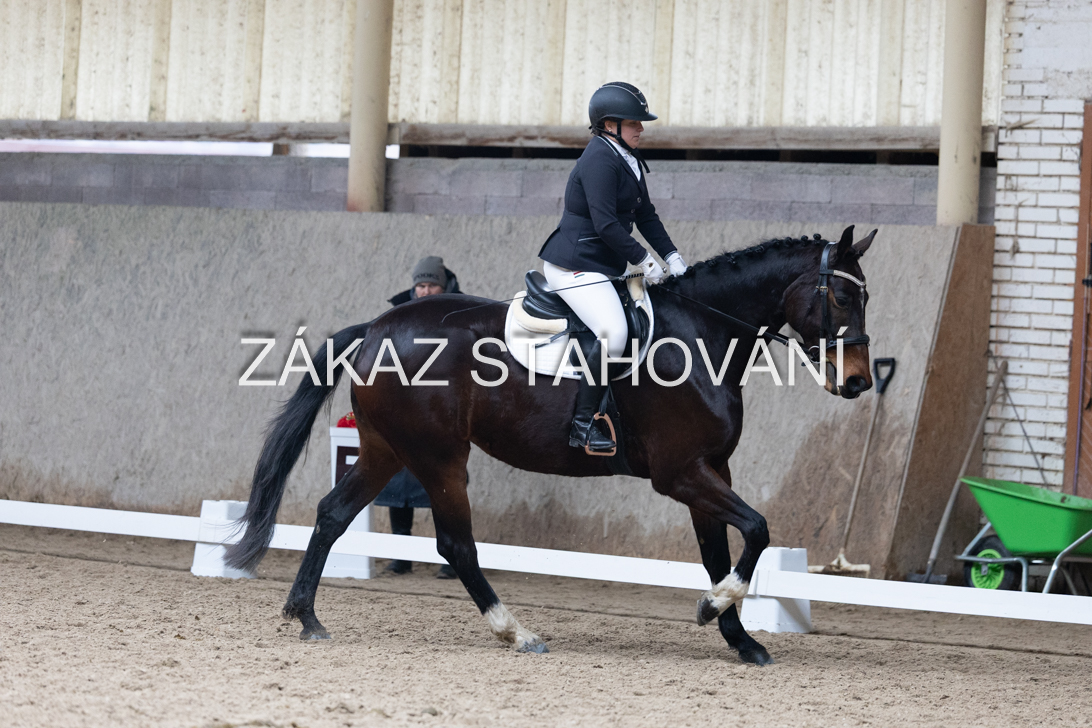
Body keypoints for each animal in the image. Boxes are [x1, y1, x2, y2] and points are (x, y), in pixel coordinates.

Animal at [227, 224, 877, 666]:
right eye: (844, 299)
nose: (858, 383)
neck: (701, 336)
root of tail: (376, 328)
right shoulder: (682, 473)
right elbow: (759, 530)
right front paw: (711, 609)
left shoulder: (712, 470)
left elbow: (721, 551)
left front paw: (737, 636)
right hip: (439, 458)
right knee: (455, 544)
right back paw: (516, 632)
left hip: (388, 450)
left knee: (332, 514)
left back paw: (307, 617)